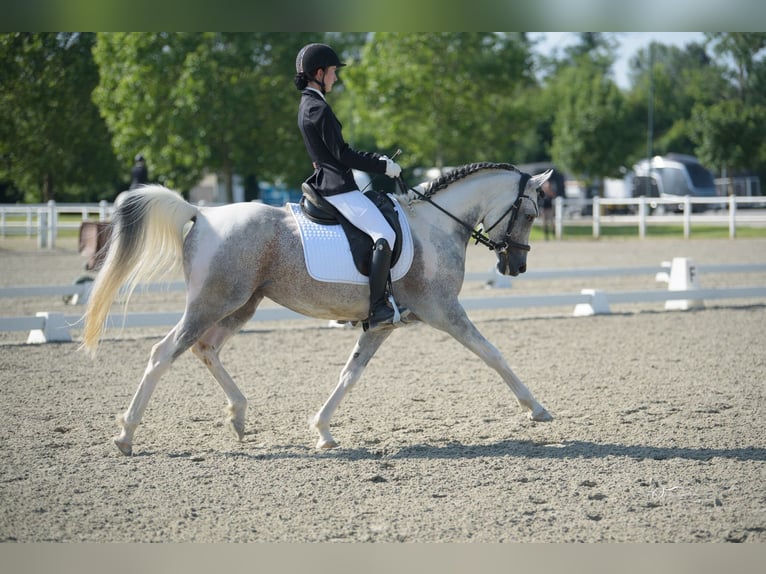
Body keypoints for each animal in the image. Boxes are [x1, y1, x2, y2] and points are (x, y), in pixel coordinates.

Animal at [82, 162, 554, 455]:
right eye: (531, 212)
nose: (516, 266)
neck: (435, 226)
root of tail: (201, 212)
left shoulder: (382, 324)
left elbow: (350, 374)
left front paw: (323, 431)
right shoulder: (444, 311)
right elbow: (493, 354)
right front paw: (536, 409)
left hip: (241, 304)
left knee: (206, 348)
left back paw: (238, 417)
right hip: (213, 301)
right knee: (164, 353)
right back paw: (125, 436)